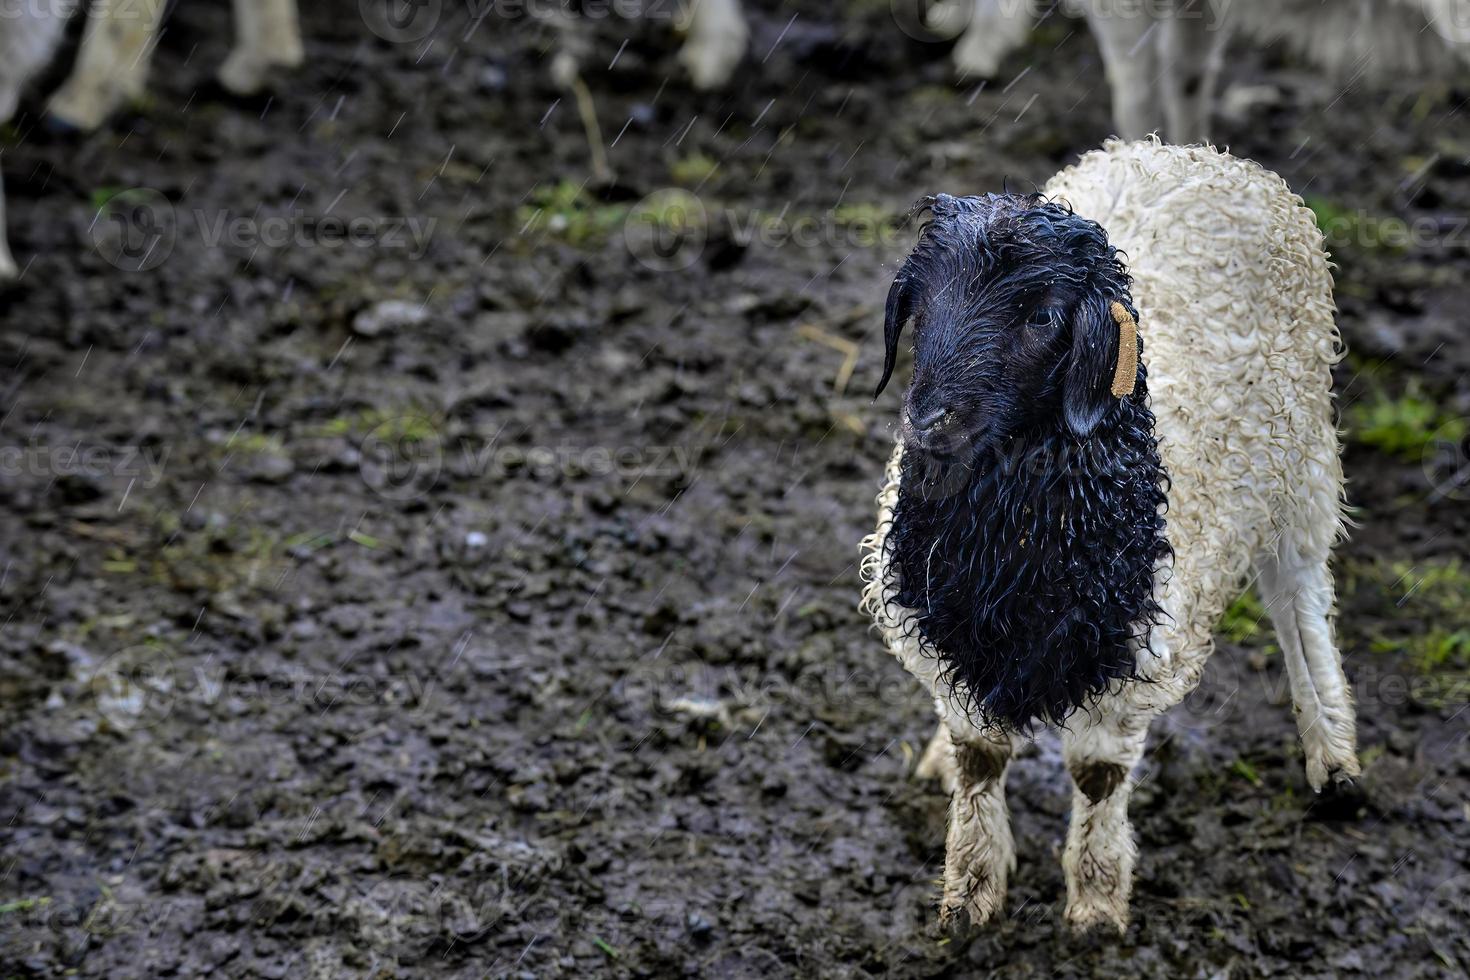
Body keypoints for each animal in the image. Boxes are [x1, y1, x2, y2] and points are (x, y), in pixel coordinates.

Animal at [858, 135, 1358, 928]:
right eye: (921, 304)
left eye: (1041, 318)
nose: (931, 422)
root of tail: (1194, 154)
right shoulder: (945, 632)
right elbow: (979, 761)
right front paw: (969, 894)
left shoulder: (1138, 652)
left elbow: (1098, 776)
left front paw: (1095, 903)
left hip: (1301, 450)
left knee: (1298, 593)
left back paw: (1333, 753)